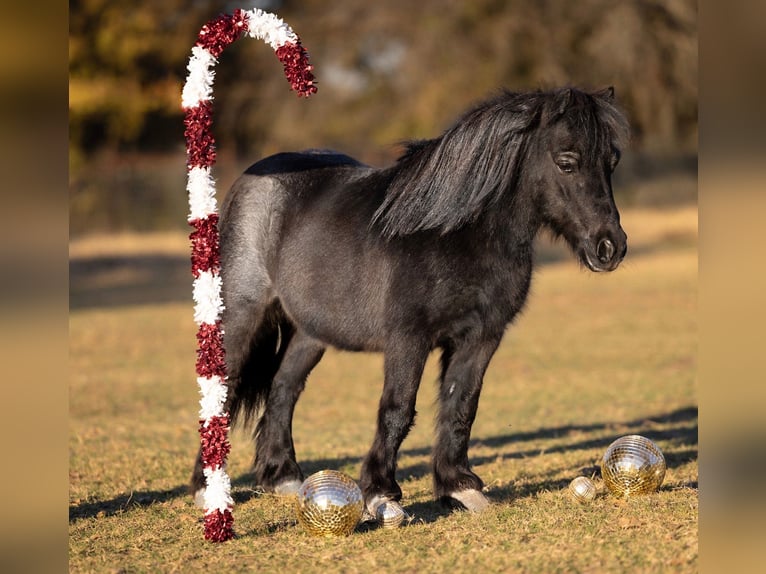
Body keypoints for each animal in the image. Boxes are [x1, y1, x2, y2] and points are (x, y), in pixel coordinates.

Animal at [191, 86, 630, 518]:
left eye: (612, 161)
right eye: (567, 162)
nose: (610, 247)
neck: (451, 233)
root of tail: (252, 180)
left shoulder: (481, 337)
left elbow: (461, 405)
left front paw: (460, 488)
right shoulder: (408, 339)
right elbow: (398, 409)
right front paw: (381, 494)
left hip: (311, 331)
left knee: (284, 387)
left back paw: (283, 476)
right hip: (243, 313)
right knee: (224, 387)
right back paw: (207, 488)